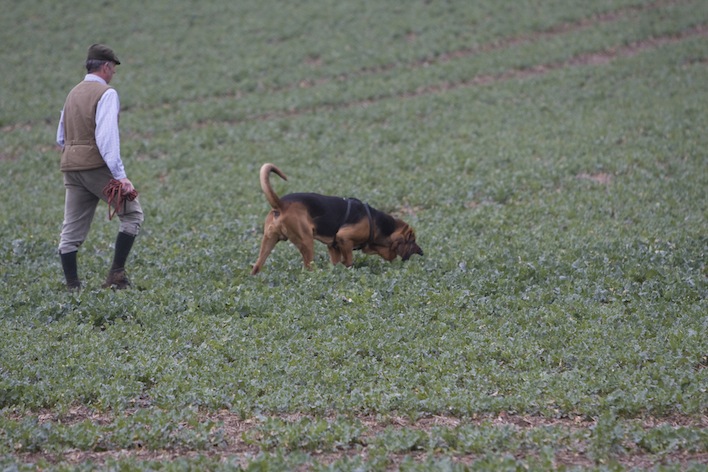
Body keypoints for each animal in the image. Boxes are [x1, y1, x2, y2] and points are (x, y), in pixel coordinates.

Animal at [252, 163, 424, 274]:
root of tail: (281, 204)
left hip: (268, 240)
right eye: (413, 240)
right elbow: (348, 261)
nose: (421, 252)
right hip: (306, 241)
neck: (377, 224)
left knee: (256, 266)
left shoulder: (333, 247)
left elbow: (335, 263)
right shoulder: (344, 238)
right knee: (308, 267)